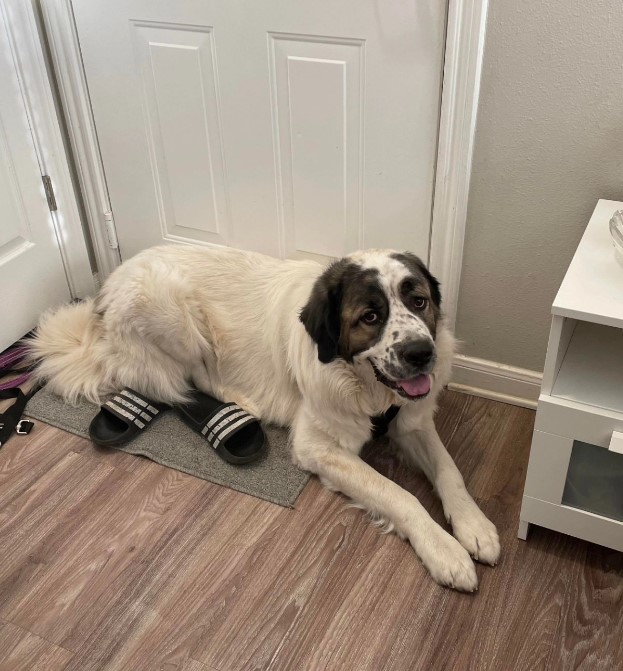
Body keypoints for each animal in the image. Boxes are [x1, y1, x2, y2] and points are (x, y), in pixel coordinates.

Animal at [30, 244, 502, 592]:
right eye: (371, 317)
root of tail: (106, 289)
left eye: (418, 301)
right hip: (172, 310)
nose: (422, 353)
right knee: (185, 380)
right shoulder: (319, 447)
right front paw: (444, 550)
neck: (365, 384)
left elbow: (450, 471)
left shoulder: (413, 423)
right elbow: (398, 495)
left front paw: (474, 526)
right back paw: (237, 401)